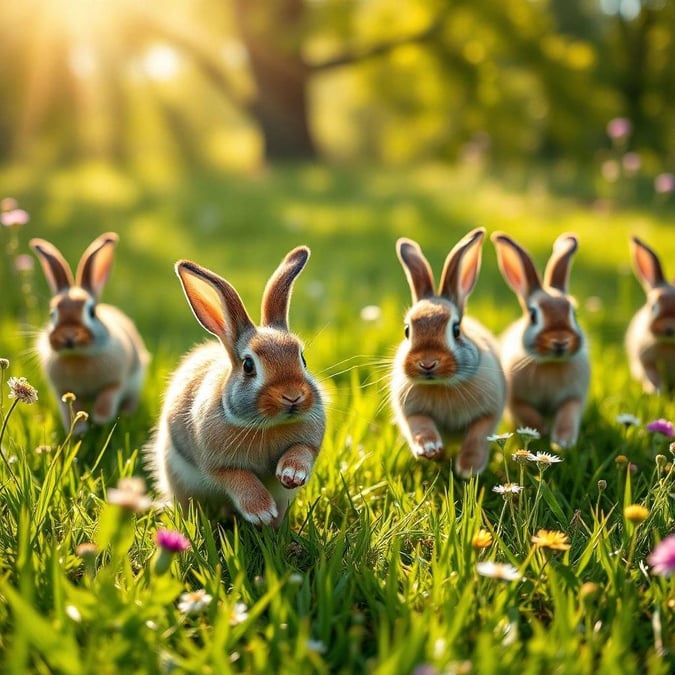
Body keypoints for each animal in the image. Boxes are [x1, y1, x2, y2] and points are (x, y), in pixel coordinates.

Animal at [31, 232, 150, 434]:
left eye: (92, 312)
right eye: (52, 314)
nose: (68, 337)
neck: (78, 356)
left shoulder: (115, 382)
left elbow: (108, 396)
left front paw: (101, 418)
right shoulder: (63, 390)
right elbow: (70, 409)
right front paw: (79, 430)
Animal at [146, 246, 328, 524]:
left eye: (302, 359)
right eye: (248, 365)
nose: (293, 396)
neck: (266, 426)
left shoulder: (309, 441)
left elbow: (302, 451)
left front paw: (292, 474)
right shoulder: (217, 464)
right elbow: (237, 478)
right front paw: (260, 511)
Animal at [390, 230, 508, 478]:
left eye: (456, 330)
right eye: (407, 331)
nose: (427, 363)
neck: (442, 385)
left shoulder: (489, 413)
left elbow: (477, 437)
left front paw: (469, 469)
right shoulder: (411, 411)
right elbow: (420, 425)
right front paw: (430, 449)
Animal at [492, 232, 592, 448]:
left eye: (574, 313)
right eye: (533, 316)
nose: (560, 342)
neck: (550, 364)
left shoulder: (574, 397)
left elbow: (568, 413)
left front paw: (563, 440)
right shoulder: (515, 400)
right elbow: (526, 412)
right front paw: (541, 430)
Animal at [624, 238, 675, 396]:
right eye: (653, 307)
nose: (669, 329)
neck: (669, 343)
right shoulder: (646, 361)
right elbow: (652, 376)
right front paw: (657, 392)